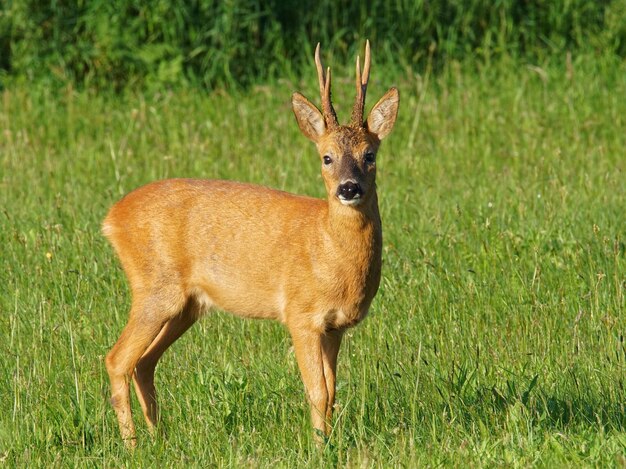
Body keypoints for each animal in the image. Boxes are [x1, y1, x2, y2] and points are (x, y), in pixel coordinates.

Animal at [100, 41, 398, 446]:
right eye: (326, 157)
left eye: (370, 155)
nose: (348, 188)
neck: (329, 250)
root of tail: (112, 218)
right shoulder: (300, 314)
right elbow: (317, 390)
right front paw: (320, 446)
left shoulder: (335, 326)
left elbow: (333, 391)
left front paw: (330, 441)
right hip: (154, 288)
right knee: (117, 359)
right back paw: (132, 446)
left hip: (187, 306)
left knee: (144, 362)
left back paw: (158, 438)